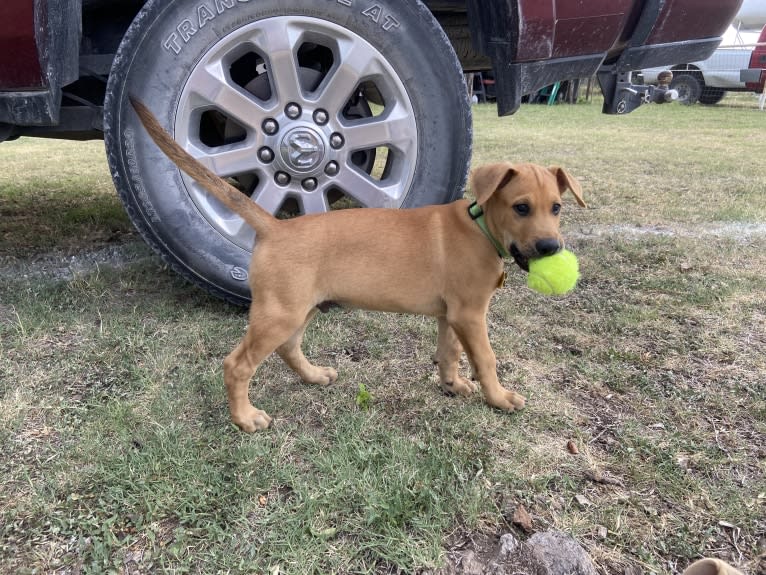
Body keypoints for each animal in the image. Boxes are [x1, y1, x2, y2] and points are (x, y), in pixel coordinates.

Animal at [132, 99, 588, 432]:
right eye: (521, 207)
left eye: (557, 207)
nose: (550, 247)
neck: (479, 226)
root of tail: (275, 227)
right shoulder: (471, 314)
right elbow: (486, 359)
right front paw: (499, 398)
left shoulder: (453, 314)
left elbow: (450, 352)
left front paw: (453, 384)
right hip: (280, 312)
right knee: (237, 364)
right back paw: (245, 419)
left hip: (299, 308)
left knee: (289, 348)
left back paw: (314, 376)